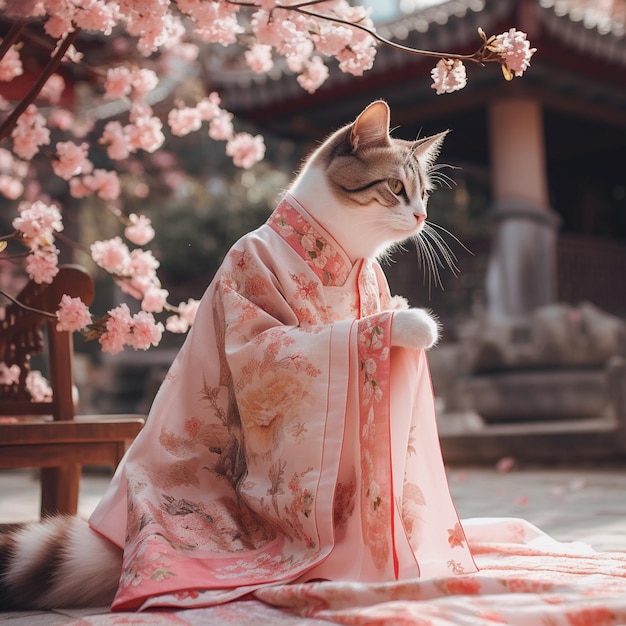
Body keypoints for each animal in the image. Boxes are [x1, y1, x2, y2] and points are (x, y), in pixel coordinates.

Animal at [0, 100, 448, 608]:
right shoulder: (258, 322)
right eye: (396, 189)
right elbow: (312, 339)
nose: (421, 216)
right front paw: (412, 324)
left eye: (424, 194)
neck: (342, 258)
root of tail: (123, 548)